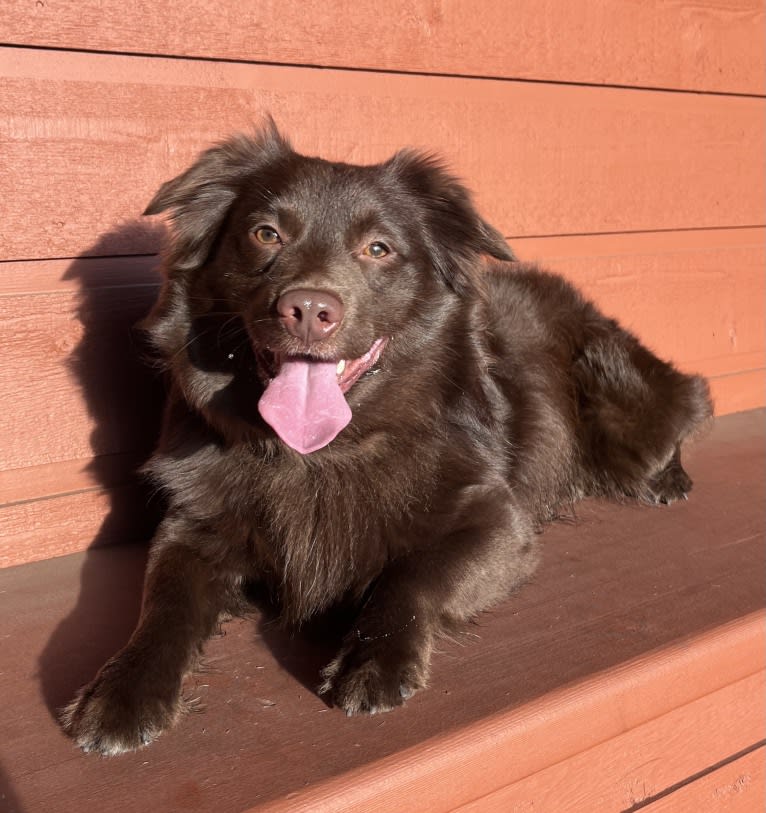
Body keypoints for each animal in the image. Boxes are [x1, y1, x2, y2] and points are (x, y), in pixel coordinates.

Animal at [61, 122, 712, 756]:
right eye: (266, 234)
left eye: (378, 249)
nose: (308, 309)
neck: (319, 453)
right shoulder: (190, 529)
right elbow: (162, 606)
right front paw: (122, 690)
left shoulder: (497, 521)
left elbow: (411, 575)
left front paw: (375, 662)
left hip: (620, 398)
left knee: (687, 401)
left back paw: (670, 477)